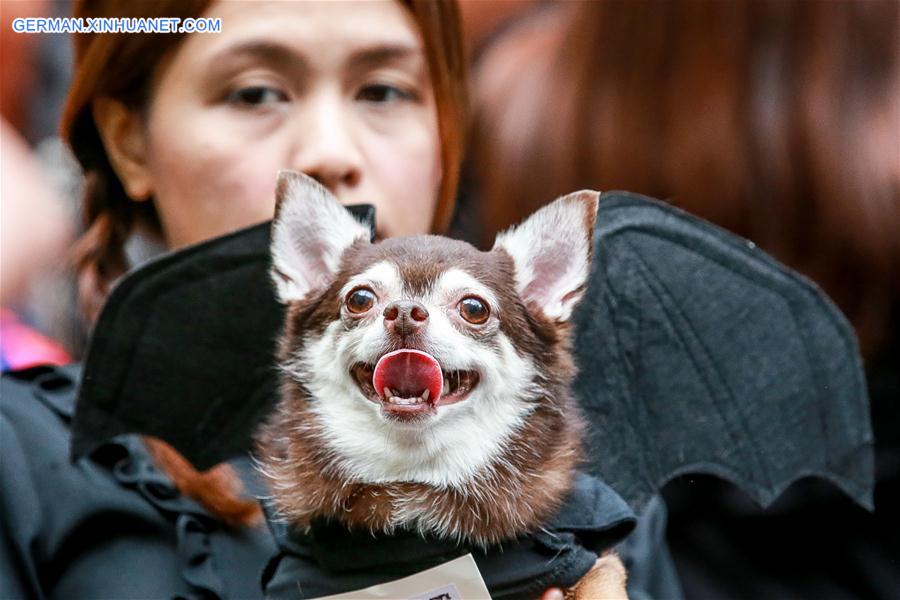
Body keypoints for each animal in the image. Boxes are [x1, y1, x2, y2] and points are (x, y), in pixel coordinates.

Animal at [258, 171, 624, 596]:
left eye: (474, 308)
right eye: (360, 299)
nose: (403, 311)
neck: (414, 480)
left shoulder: (586, 557)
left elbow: (603, 582)